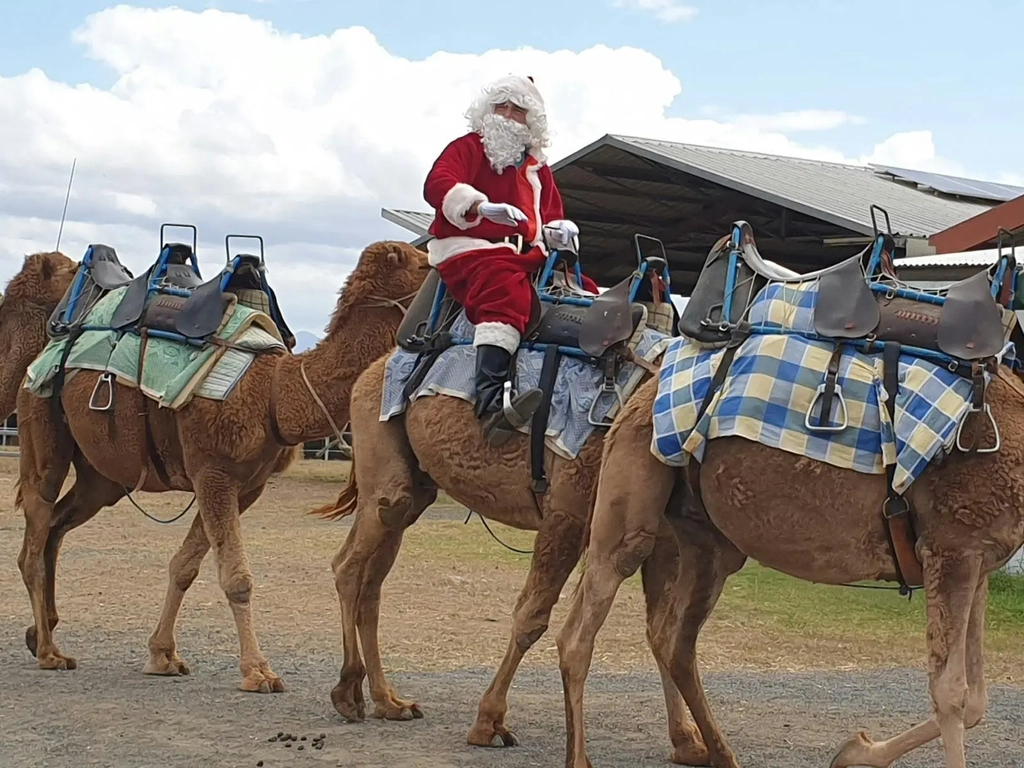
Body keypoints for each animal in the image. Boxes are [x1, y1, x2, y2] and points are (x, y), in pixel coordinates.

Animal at [9, 239, 423, 692]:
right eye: (425, 264)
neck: (275, 389)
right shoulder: (213, 472)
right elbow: (237, 578)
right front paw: (258, 671)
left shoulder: (244, 486)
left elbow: (185, 565)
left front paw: (162, 655)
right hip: (41, 424)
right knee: (35, 532)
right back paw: (49, 651)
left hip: (102, 476)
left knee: (56, 526)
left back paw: (41, 633)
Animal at [557, 268, 1024, 765]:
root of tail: (647, 378)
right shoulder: (952, 550)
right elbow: (950, 694)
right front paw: (859, 749)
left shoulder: (977, 560)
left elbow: (976, 700)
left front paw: (855, 751)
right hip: (633, 497)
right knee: (582, 629)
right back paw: (580, 756)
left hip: (709, 540)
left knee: (673, 639)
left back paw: (720, 753)